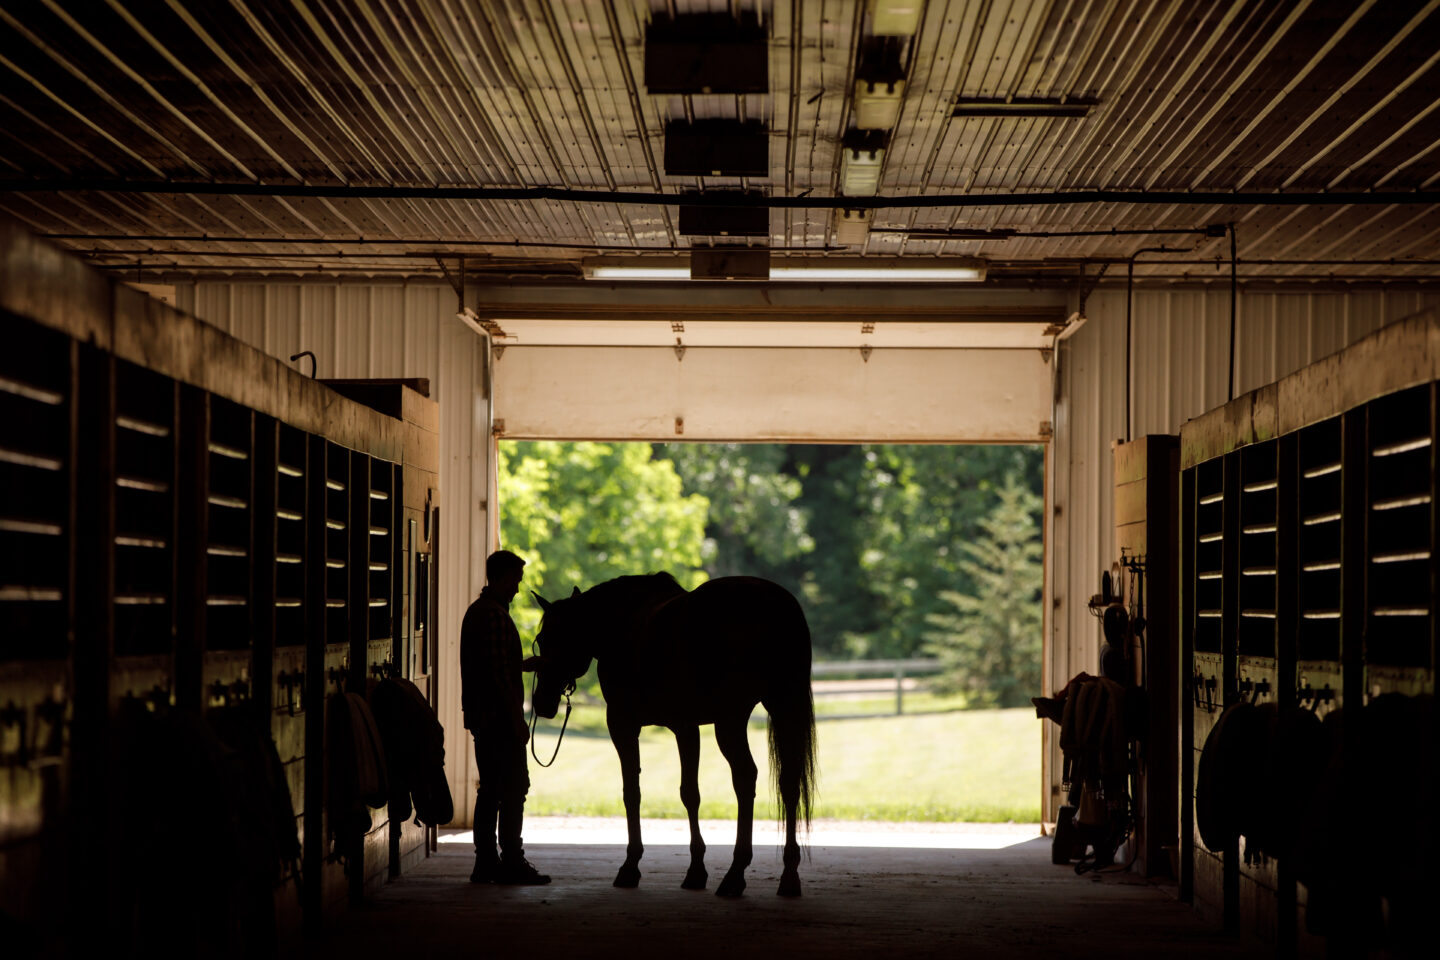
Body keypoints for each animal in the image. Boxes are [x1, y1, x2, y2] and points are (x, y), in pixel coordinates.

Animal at [532, 575, 823, 898]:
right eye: (541, 640)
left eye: (549, 638)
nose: (540, 702)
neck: (624, 623)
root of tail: (777, 604)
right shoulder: (686, 728)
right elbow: (690, 794)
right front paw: (696, 870)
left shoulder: (625, 724)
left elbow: (635, 793)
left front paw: (632, 866)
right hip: (780, 708)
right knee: (787, 783)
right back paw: (787, 875)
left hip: (731, 720)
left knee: (747, 778)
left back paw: (736, 875)